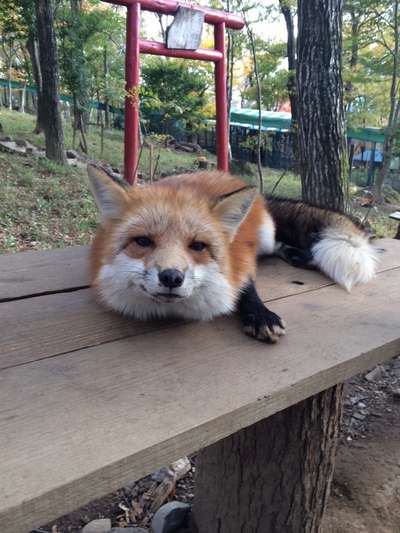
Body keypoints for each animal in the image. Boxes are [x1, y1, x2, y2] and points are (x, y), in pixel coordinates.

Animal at [87, 164, 378, 342]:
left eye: (198, 246)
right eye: (143, 241)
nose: (171, 277)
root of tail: (224, 173)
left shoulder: (242, 258)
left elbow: (246, 285)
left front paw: (260, 314)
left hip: (265, 234)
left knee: (275, 244)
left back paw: (299, 255)